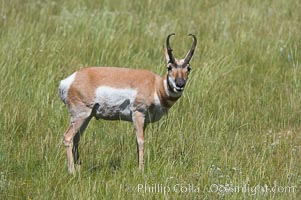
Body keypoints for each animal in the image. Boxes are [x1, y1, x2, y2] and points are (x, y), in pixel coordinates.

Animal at [58, 33, 197, 173]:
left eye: (188, 68)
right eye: (169, 67)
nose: (180, 84)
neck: (155, 86)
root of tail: (68, 81)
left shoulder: (144, 121)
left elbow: (137, 141)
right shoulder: (138, 114)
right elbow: (141, 140)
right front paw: (141, 169)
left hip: (87, 117)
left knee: (76, 138)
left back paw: (78, 168)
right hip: (81, 115)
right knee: (67, 137)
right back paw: (72, 171)